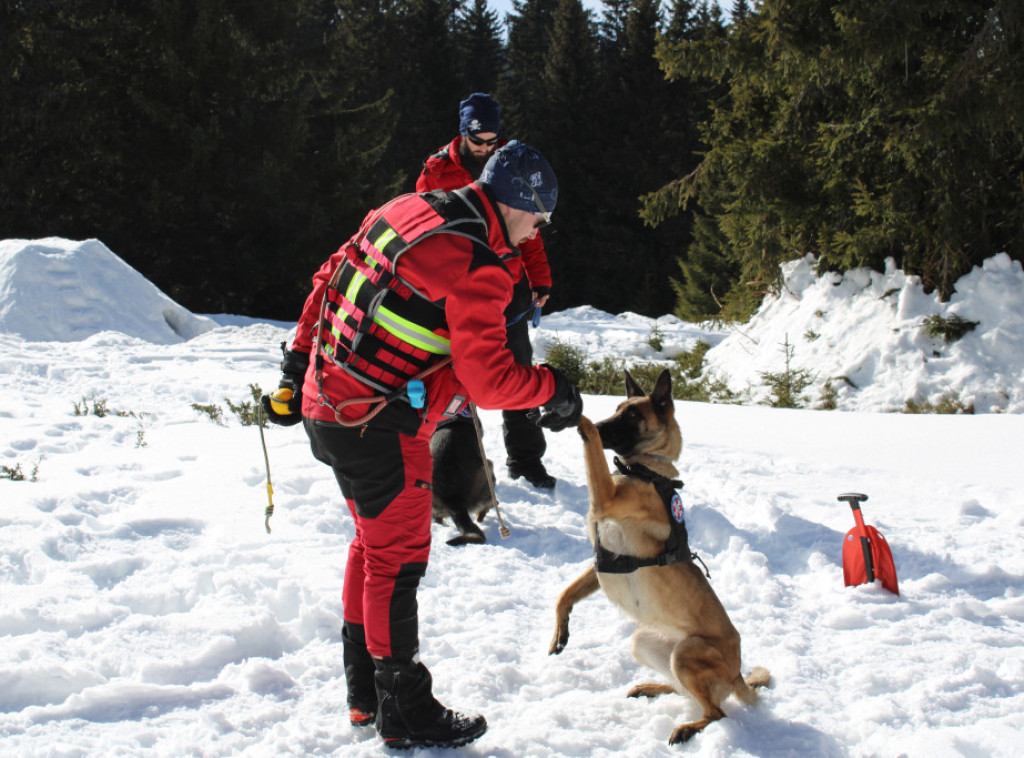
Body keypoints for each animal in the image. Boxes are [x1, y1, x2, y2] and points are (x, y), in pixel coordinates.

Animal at [548, 370, 765, 741]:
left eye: (633, 414)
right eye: (617, 408)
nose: (606, 424)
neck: (644, 471)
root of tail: (738, 674)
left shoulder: (604, 498)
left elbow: (592, 442)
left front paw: (582, 417)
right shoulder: (604, 563)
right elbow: (564, 595)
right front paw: (560, 632)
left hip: (687, 651)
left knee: (716, 712)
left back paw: (688, 728)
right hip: (644, 642)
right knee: (685, 691)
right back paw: (652, 688)